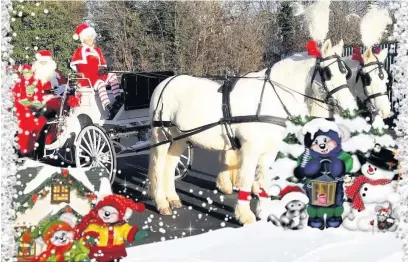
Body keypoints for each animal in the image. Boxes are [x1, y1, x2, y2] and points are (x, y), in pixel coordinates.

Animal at [147, 38, 356, 223]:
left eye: (345, 73)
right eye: (328, 73)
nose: (350, 107)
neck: (271, 97)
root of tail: (166, 82)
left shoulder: (269, 151)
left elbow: (264, 180)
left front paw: (263, 213)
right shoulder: (250, 148)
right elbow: (247, 179)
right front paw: (245, 215)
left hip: (179, 138)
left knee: (170, 166)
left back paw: (173, 198)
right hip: (161, 135)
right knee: (158, 167)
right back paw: (161, 203)